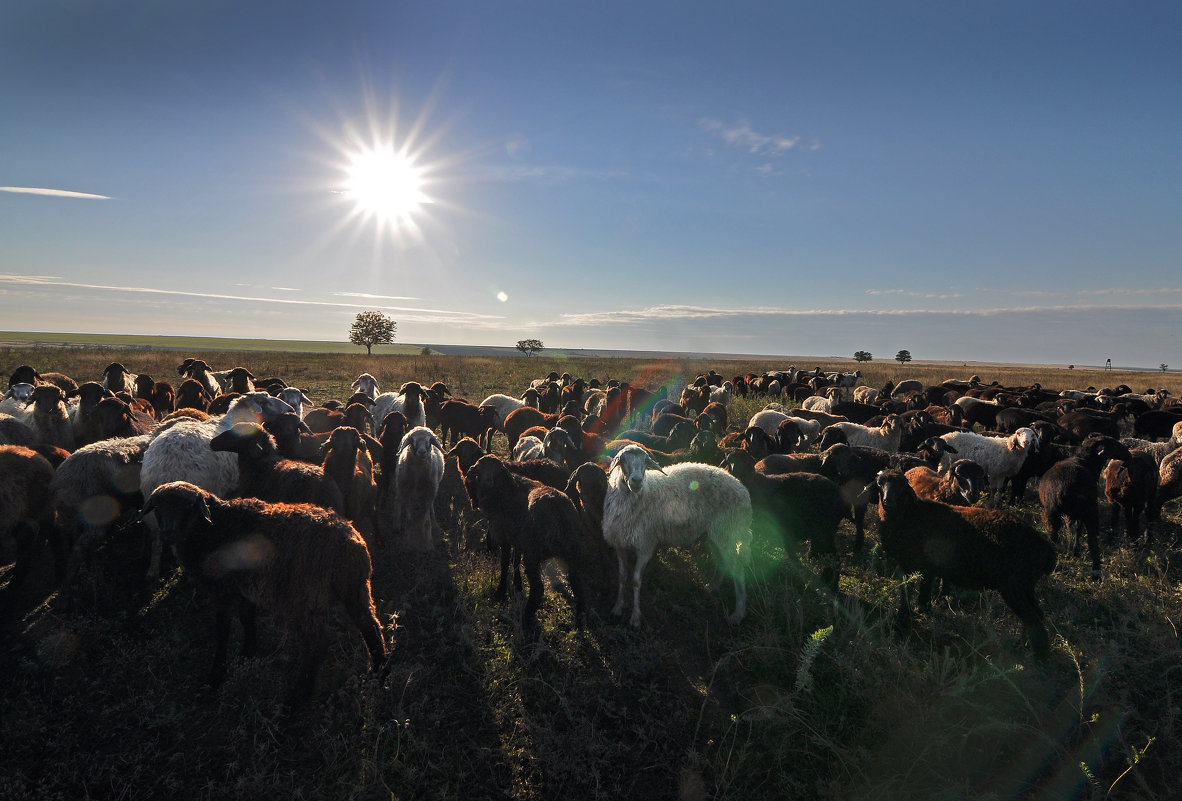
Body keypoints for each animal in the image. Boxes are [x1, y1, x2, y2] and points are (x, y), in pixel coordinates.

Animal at [140, 484, 385, 704]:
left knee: (318, 642)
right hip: (355, 589)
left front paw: (216, 675)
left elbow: (222, 630)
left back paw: (301, 694)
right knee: (371, 627)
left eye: (189, 507)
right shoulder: (245, 589)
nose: (168, 534)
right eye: (159, 507)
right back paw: (379, 672)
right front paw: (248, 652)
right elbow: (247, 618)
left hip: (310, 595)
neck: (215, 528)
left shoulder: (223, 590)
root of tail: (351, 542)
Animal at [456, 456, 600, 628]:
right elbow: (515, 562)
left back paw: (525, 619)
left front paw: (500, 592)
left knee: (538, 589)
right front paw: (517, 585)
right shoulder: (518, 540)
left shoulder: (505, 538)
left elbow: (505, 564)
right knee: (579, 587)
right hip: (572, 553)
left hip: (533, 554)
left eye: (480, 473)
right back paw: (578, 622)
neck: (506, 491)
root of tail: (558, 512)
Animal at [600, 446, 747, 628]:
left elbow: (635, 581)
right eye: (623, 460)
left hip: (727, 530)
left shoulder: (645, 546)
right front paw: (617, 608)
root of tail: (742, 489)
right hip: (715, 534)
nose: (637, 481)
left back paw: (738, 613)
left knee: (738, 568)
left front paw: (635, 617)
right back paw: (713, 586)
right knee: (723, 561)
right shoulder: (620, 544)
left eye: (645, 462)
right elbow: (622, 576)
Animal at [865, 470, 1059, 656]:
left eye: (902, 486)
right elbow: (924, 589)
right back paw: (1025, 646)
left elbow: (906, 594)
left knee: (1032, 618)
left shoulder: (909, 563)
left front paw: (901, 624)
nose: (888, 502)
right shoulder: (927, 567)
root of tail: (1046, 549)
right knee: (1037, 614)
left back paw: (1039, 655)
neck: (909, 514)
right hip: (1026, 586)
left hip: (1014, 586)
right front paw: (923, 609)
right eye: (880, 483)